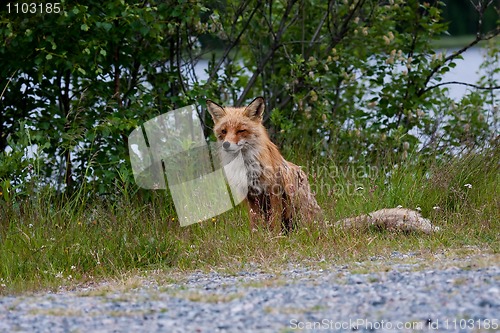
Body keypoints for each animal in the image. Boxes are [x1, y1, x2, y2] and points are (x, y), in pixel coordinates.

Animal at [207, 96, 438, 232]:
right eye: (223, 131)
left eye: (241, 131)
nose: (226, 144)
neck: (247, 167)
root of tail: (324, 225)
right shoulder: (251, 198)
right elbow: (256, 227)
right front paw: (259, 241)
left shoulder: (274, 193)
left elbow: (272, 225)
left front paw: (273, 240)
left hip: (296, 208)